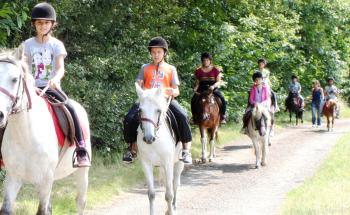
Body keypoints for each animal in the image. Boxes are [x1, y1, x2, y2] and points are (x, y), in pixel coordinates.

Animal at [0, 47, 90, 214]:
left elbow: (42, 210)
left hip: (82, 172)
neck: (26, 135)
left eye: (15, 79)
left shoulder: (45, 180)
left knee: (80, 202)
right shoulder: (13, 177)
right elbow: (7, 209)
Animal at [135, 83, 185, 215]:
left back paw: (173, 206)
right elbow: (151, 194)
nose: (148, 138)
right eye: (140, 110)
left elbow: (169, 194)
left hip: (179, 163)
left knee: (175, 184)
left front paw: (171, 211)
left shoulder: (168, 163)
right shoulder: (146, 164)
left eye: (158, 110)